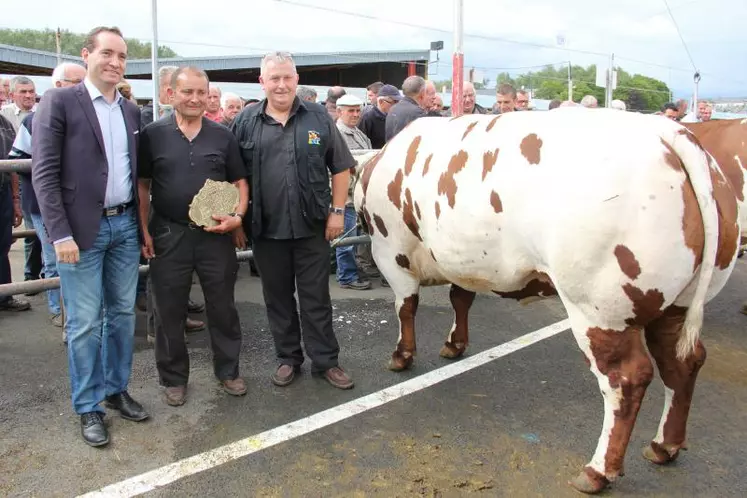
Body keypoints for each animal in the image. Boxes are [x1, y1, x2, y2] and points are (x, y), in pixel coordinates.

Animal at [356, 108, 744, 494]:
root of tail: (668, 132)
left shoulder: (392, 251)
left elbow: (406, 306)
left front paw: (402, 355)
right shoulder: (462, 259)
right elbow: (460, 298)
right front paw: (455, 343)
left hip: (598, 307)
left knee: (626, 379)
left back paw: (598, 471)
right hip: (676, 305)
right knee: (681, 362)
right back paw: (665, 445)